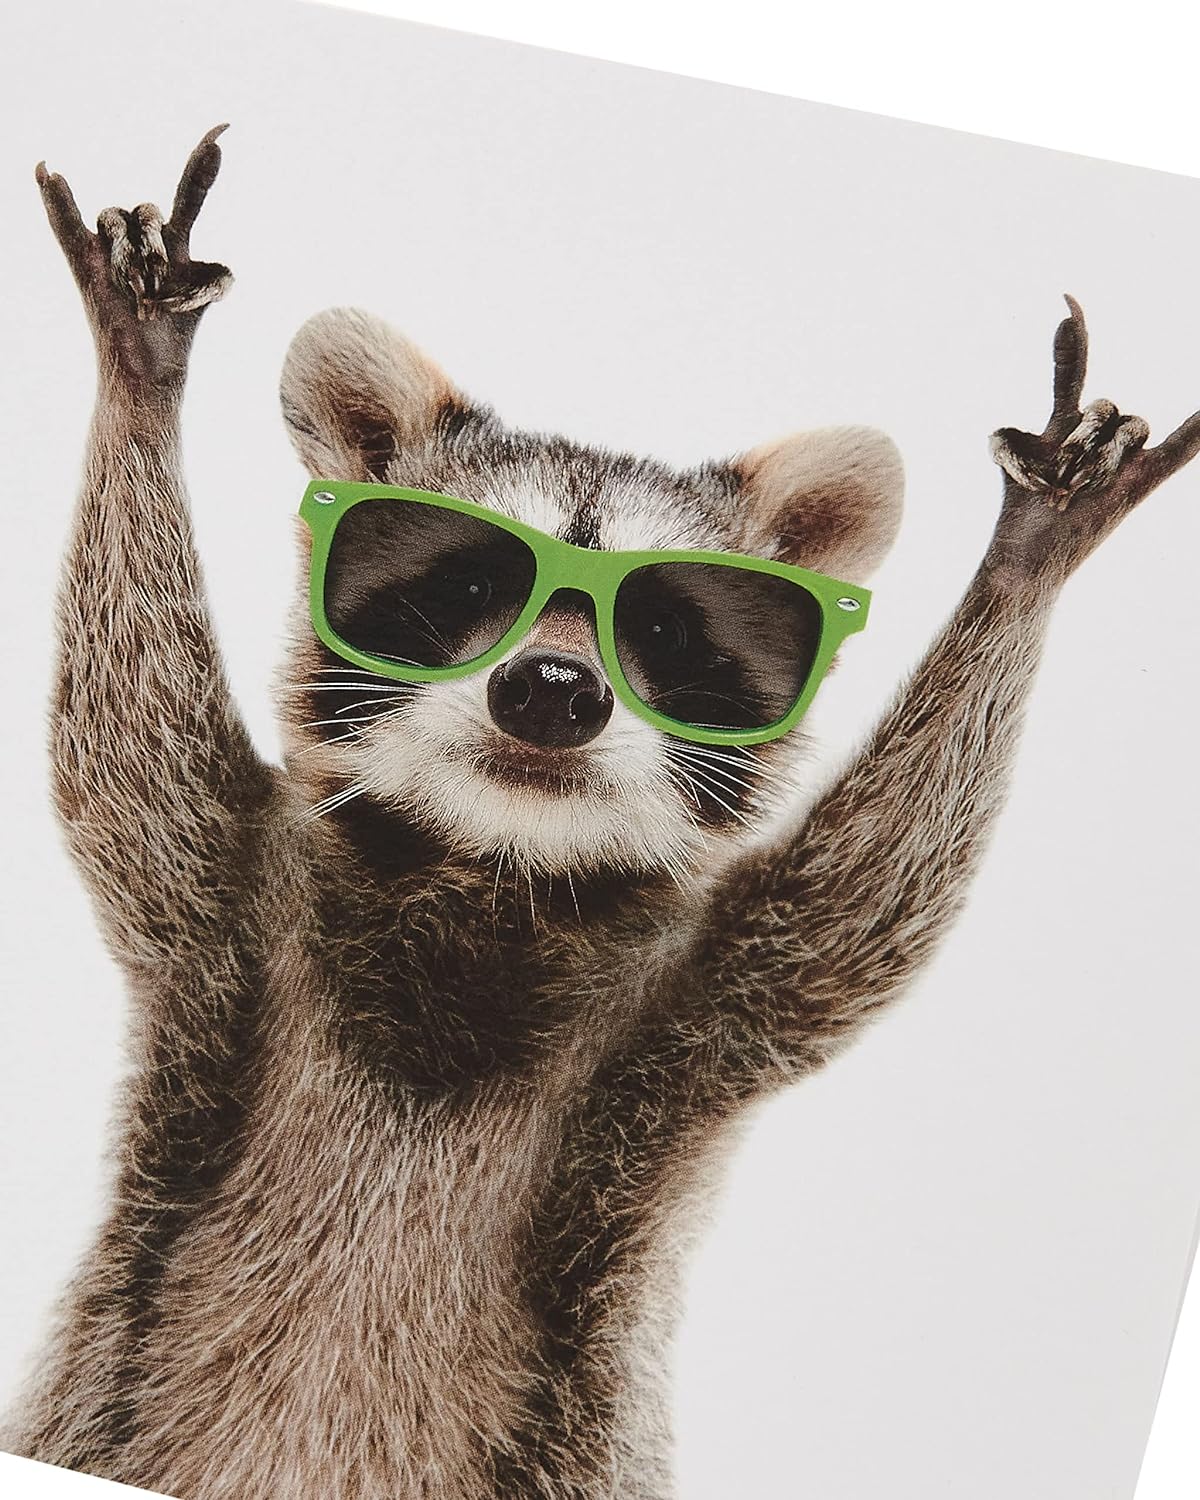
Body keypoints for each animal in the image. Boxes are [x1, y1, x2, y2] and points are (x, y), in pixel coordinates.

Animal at [8, 125, 1199, 1500]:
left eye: (666, 632)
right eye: (470, 583)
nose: (552, 690)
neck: (495, 869)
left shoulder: (702, 1009)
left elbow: (869, 898)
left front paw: (1025, 567)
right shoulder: (229, 904)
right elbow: (121, 736)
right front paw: (142, 380)